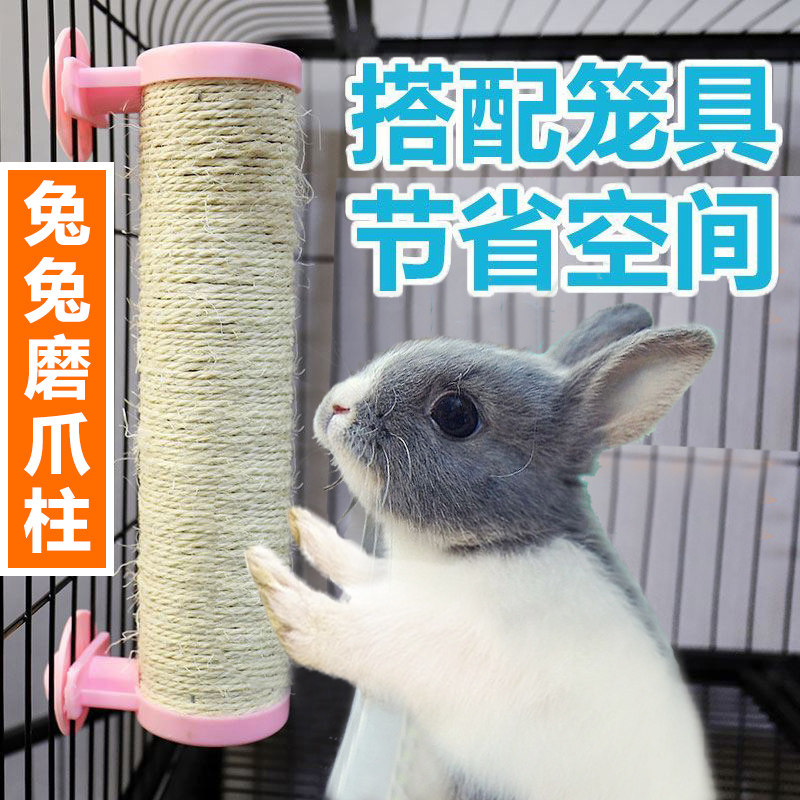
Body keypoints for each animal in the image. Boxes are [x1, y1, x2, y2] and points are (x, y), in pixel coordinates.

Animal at [246, 303, 717, 800]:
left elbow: (356, 637)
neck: (490, 545)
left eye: (455, 413)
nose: (337, 404)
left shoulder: (430, 649)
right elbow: (359, 569)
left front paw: (279, 590)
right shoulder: (389, 583)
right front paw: (304, 526)